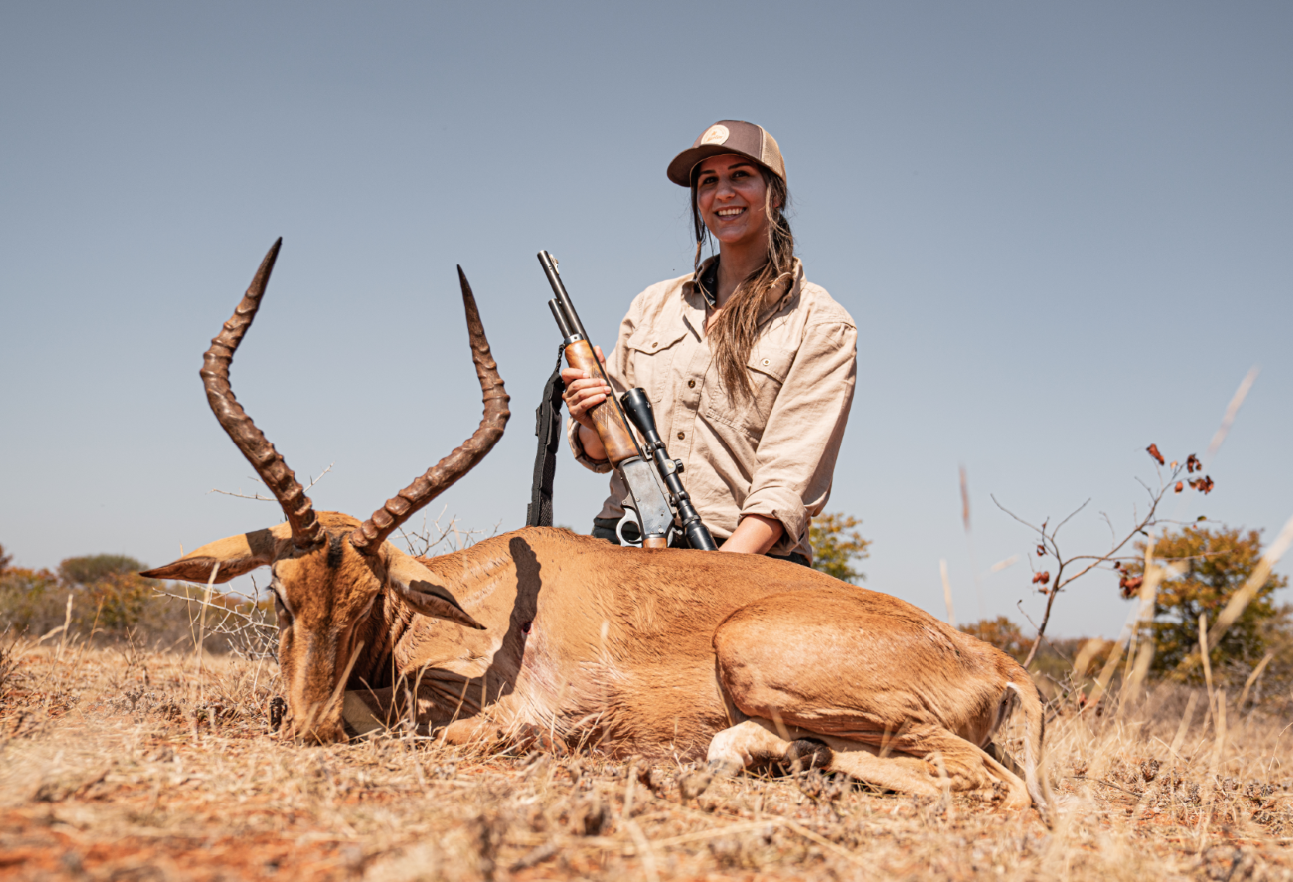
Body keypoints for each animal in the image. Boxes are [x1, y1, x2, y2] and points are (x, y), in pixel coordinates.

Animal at [144, 241, 1050, 818]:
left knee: (994, 785)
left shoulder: (502, 721)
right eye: (280, 596)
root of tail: (988, 658)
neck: (483, 590)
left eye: (370, 601)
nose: (311, 727)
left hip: (761, 658)